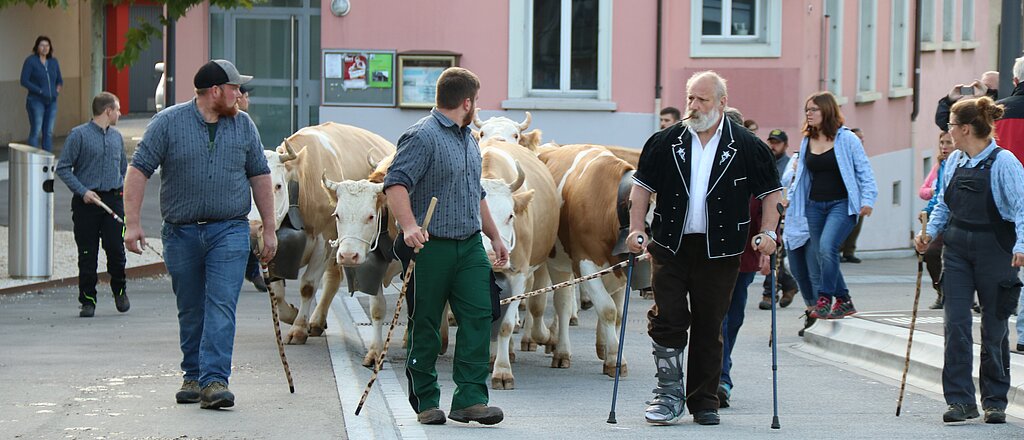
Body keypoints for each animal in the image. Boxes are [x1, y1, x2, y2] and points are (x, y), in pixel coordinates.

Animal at [247, 122, 395, 345]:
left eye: (278, 186)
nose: (254, 227)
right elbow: (277, 291)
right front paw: (291, 314)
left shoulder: (323, 242)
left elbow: (307, 285)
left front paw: (299, 328)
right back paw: (316, 322)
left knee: (331, 279)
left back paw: (314, 321)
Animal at [532, 142, 634, 376]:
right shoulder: (586, 263)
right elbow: (607, 309)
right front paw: (616, 360)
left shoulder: (623, 269)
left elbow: (618, 314)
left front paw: (610, 351)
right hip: (558, 263)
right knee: (562, 303)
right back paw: (561, 352)